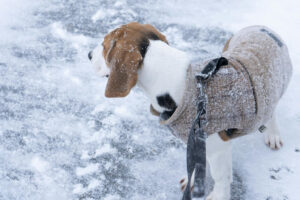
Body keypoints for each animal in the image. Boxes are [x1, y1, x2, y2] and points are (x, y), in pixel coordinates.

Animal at [88, 22, 292, 200]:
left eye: (104, 46)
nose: (89, 54)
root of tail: (262, 28)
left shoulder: (218, 147)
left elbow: (221, 176)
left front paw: (219, 195)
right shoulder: (194, 139)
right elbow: (194, 161)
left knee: (272, 113)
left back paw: (273, 134)